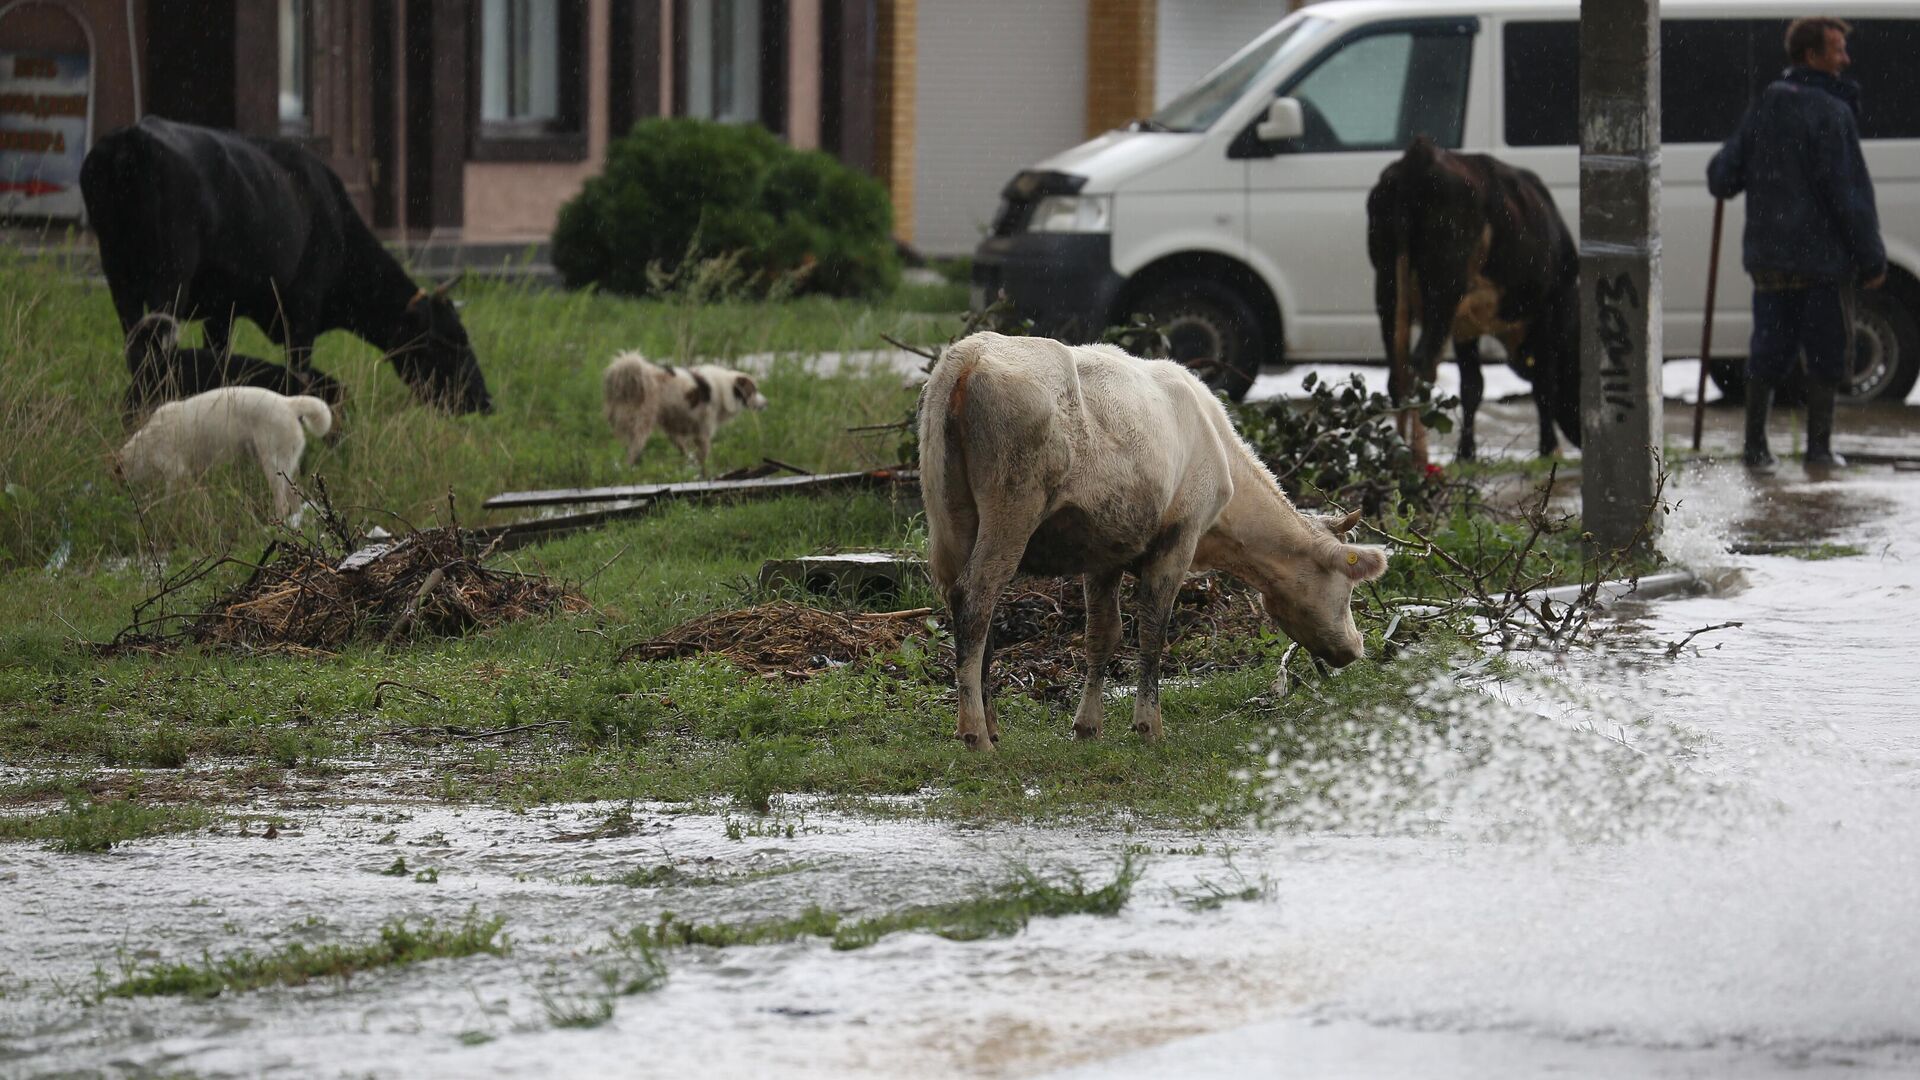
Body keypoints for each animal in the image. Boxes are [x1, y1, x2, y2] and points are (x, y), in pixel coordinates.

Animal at [78, 116, 491, 411]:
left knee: (136, 348)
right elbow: (300, 368)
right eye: (451, 339)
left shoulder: (222, 309)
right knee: (154, 350)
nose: (485, 401)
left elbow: (220, 357)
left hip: (119, 277)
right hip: (169, 278)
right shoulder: (302, 310)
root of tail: (129, 138)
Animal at [606, 351, 771, 472]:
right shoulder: (702, 434)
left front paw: (687, 467)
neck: (725, 389)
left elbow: (684, 450)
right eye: (753, 391)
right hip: (641, 427)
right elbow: (704, 459)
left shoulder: (673, 430)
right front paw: (705, 475)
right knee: (631, 454)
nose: (766, 403)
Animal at [921, 330, 1390, 749]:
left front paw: (1087, 726)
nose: (1356, 648)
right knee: (976, 598)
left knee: (970, 606)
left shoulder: (1105, 549)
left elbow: (1103, 633)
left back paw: (991, 725)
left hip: (952, 517)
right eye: (1349, 589)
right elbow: (1152, 629)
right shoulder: (1178, 538)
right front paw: (1149, 725)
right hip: (1013, 507)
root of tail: (970, 354)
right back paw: (975, 733)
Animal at [1374, 134, 1582, 457]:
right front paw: (1549, 449)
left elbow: (1472, 386)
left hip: (1388, 289)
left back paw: (1396, 452)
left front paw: (1466, 454)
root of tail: (1420, 153)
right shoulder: (1546, 307)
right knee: (1421, 364)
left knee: (1398, 372)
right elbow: (1544, 382)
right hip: (1442, 292)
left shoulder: (1465, 326)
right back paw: (1419, 456)